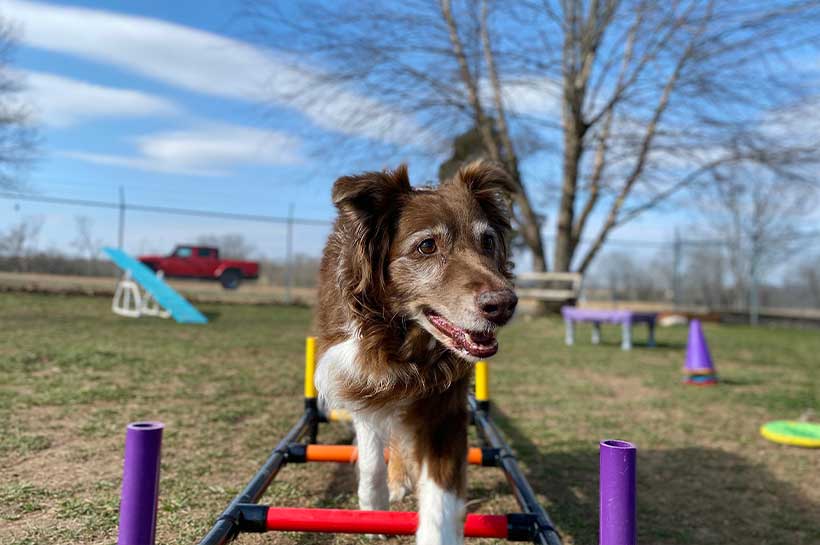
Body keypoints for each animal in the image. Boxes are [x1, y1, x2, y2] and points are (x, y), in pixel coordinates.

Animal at [316, 159, 520, 540]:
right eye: (426, 246)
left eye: (487, 241)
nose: (504, 305)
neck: (403, 338)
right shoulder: (362, 379)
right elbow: (371, 455)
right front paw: (374, 507)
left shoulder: (444, 404)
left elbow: (441, 499)